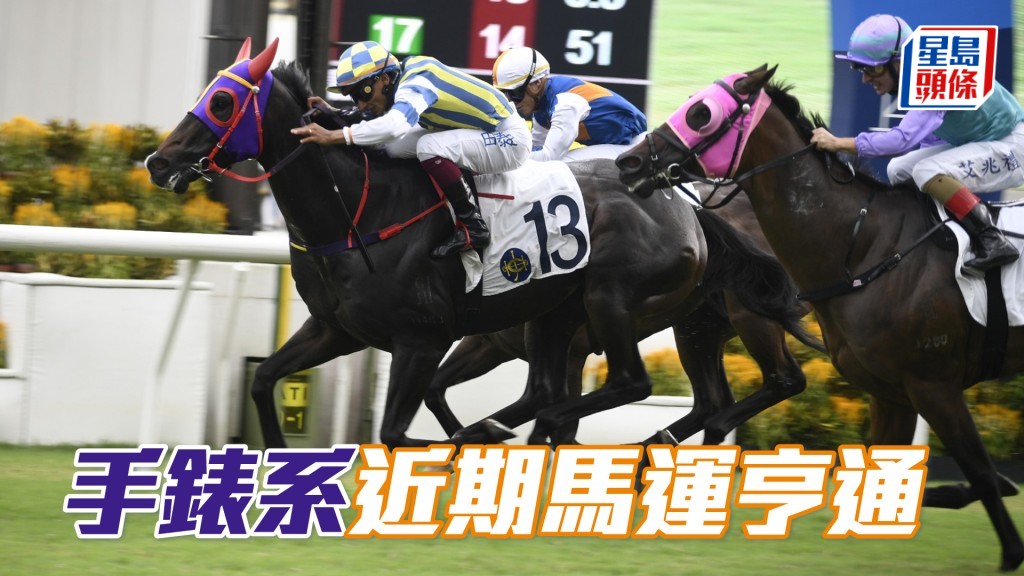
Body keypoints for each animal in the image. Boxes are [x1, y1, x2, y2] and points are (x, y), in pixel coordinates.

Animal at [425, 183, 824, 448]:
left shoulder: (565, 348)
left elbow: (553, 416)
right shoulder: (490, 343)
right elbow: (435, 388)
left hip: (748, 315)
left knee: (783, 379)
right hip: (697, 328)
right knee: (712, 401)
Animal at [615, 64, 1024, 572]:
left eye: (700, 113)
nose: (630, 162)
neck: (866, 244)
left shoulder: (934, 385)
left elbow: (981, 471)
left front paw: (1010, 546)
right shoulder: (893, 392)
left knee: (772, 383)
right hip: (703, 325)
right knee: (716, 400)